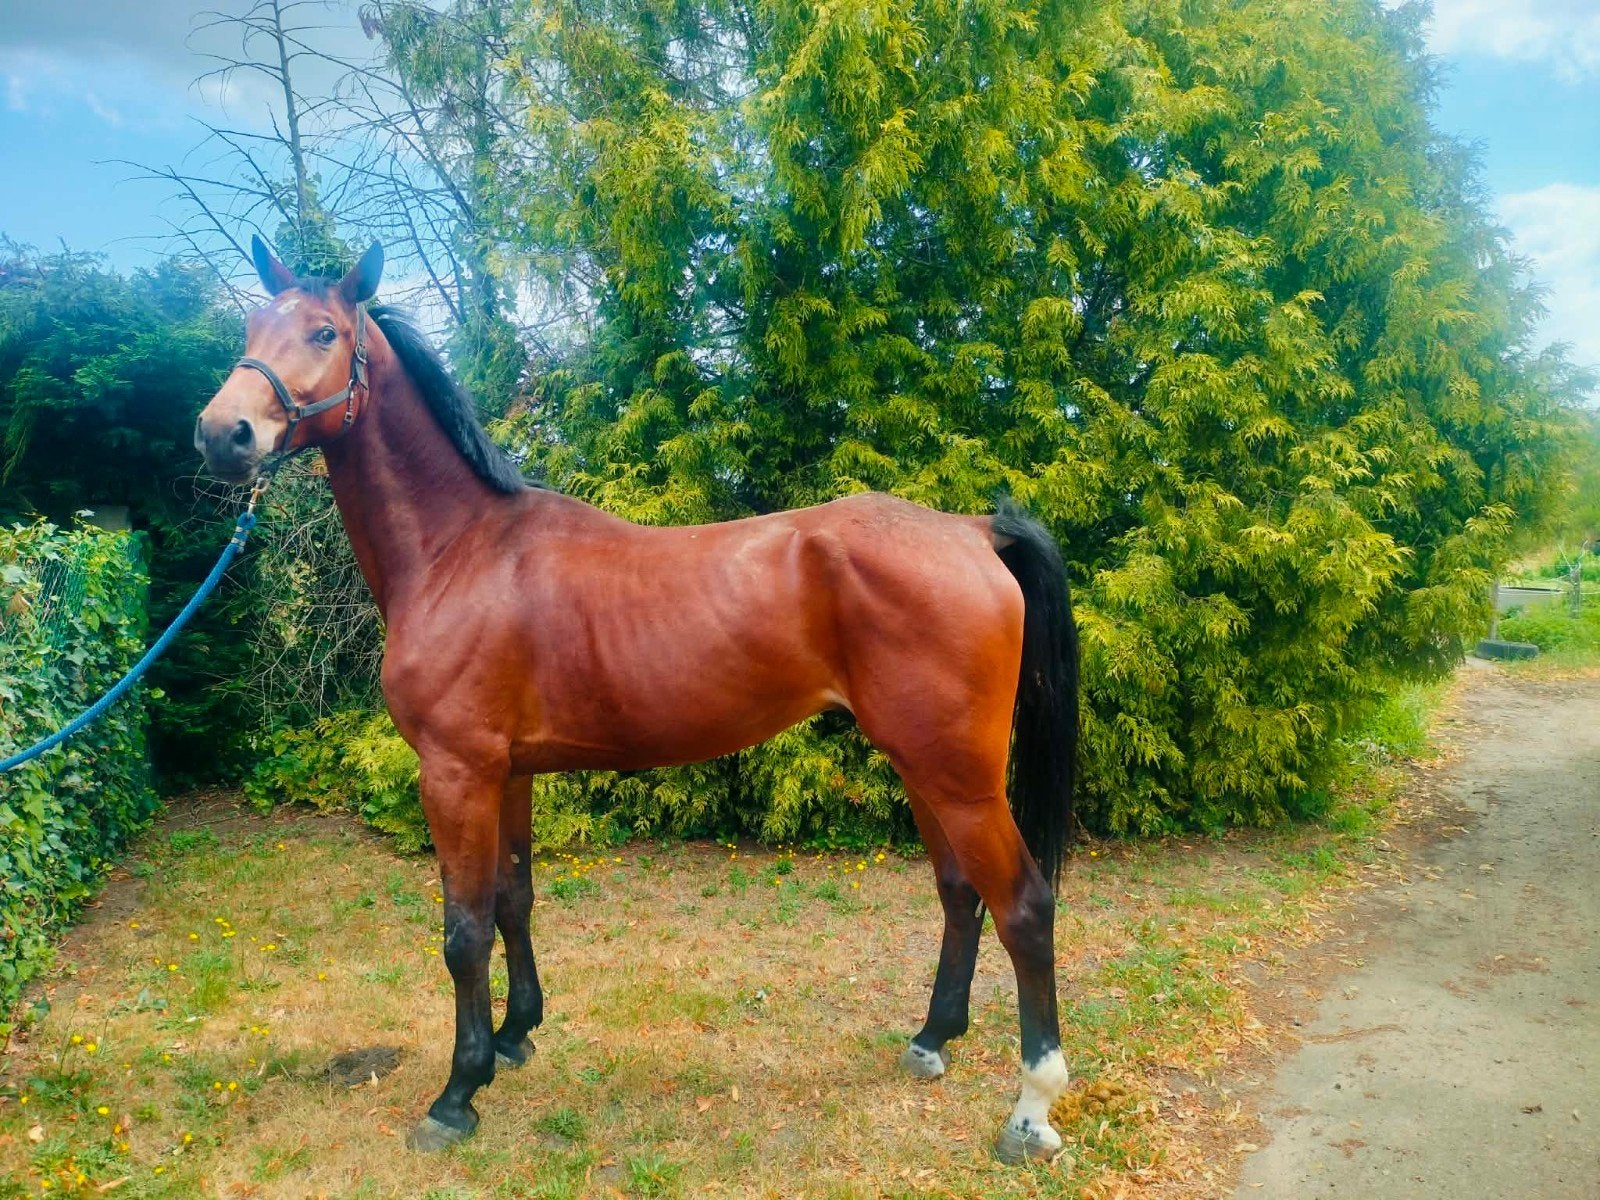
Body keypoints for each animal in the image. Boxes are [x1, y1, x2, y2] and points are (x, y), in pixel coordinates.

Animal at [195, 238, 1081, 1163]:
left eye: (324, 332)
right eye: (251, 325)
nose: (223, 433)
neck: (461, 552)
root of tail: (974, 530)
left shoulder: (454, 773)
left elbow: (463, 932)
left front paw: (458, 1092)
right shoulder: (509, 773)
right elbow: (513, 900)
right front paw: (515, 1036)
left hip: (960, 777)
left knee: (1023, 907)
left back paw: (1031, 1110)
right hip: (921, 765)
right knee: (958, 890)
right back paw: (933, 1038)